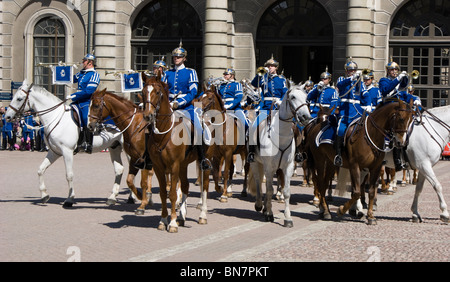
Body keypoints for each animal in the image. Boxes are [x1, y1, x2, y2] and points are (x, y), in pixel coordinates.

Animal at [4, 79, 128, 207]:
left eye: (19, 98)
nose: (7, 117)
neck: (55, 118)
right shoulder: (54, 152)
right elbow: (40, 170)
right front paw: (44, 195)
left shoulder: (67, 151)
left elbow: (69, 175)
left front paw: (69, 199)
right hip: (115, 147)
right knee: (119, 169)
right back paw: (113, 197)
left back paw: (131, 198)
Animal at [142, 74, 213, 232]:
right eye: (143, 92)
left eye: (157, 92)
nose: (148, 116)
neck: (164, 133)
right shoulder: (158, 167)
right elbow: (163, 193)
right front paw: (163, 220)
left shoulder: (174, 166)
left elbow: (173, 194)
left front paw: (172, 223)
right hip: (184, 165)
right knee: (185, 186)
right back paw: (182, 216)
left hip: (203, 161)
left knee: (204, 186)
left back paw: (202, 215)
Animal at [246, 84, 312, 227]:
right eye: (293, 97)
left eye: (306, 97)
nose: (305, 117)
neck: (280, 136)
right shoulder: (268, 167)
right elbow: (269, 189)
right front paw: (269, 214)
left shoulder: (288, 167)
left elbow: (286, 191)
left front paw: (288, 218)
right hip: (255, 163)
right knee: (259, 182)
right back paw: (260, 205)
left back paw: (265, 207)